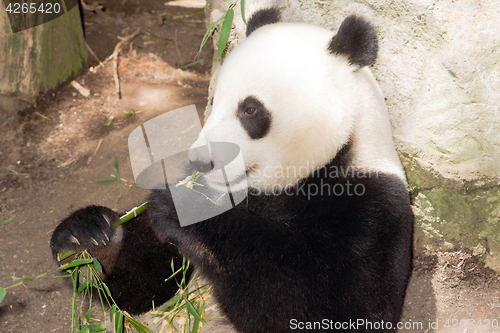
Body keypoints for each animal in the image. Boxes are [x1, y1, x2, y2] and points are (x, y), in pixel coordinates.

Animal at [50, 8, 412, 332]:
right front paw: (89, 240)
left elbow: (327, 307)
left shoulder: (369, 207)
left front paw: (192, 209)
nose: (201, 162)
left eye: (250, 110)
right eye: (213, 101)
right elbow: (147, 286)